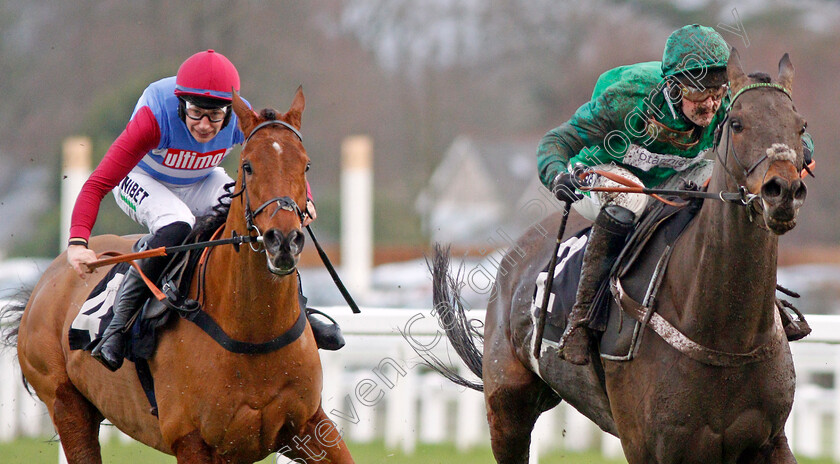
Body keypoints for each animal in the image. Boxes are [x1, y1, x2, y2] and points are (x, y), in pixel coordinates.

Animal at [0, 89, 354, 462]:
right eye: (248, 166)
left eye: (306, 165)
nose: (283, 240)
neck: (253, 331)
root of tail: (45, 281)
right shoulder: (192, 440)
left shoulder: (308, 425)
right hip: (67, 404)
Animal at [430, 50, 812, 464]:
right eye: (738, 124)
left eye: (800, 126)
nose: (783, 191)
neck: (727, 335)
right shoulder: (649, 446)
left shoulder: (769, 440)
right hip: (506, 406)